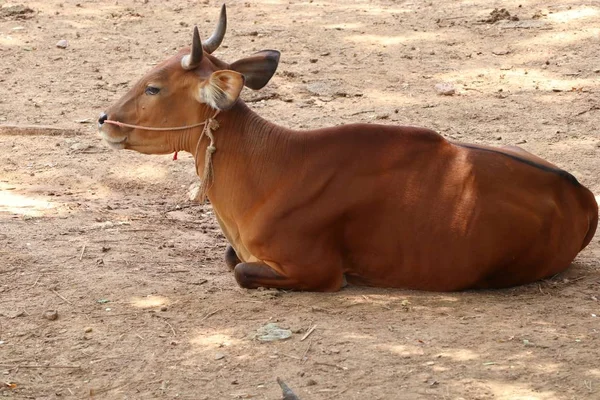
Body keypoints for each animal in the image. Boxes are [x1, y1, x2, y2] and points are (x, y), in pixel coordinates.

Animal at [97, 4, 596, 292]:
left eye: (154, 87)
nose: (104, 119)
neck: (270, 168)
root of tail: (583, 198)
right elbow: (231, 257)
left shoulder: (316, 270)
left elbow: (239, 269)